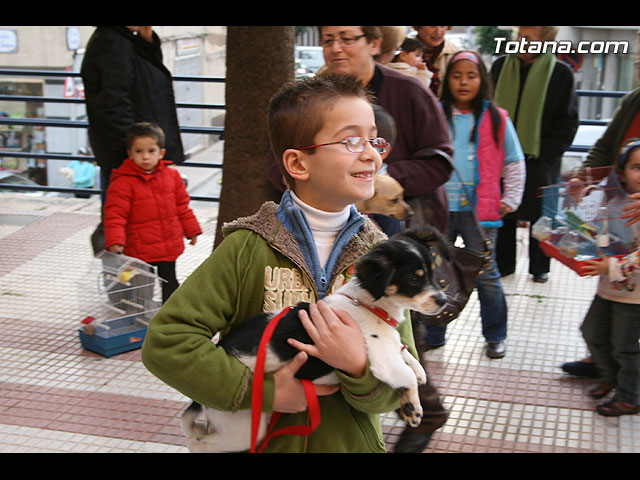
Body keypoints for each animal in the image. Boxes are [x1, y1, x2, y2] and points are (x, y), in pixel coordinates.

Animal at [180, 227, 450, 452]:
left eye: (432, 273)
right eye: (414, 278)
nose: (444, 301)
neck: (369, 306)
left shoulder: (390, 346)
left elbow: (405, 353)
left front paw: (418, 373)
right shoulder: (383, 361)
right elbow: (405, 373)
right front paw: (413, 407)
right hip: (243, 428)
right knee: (197, 437)